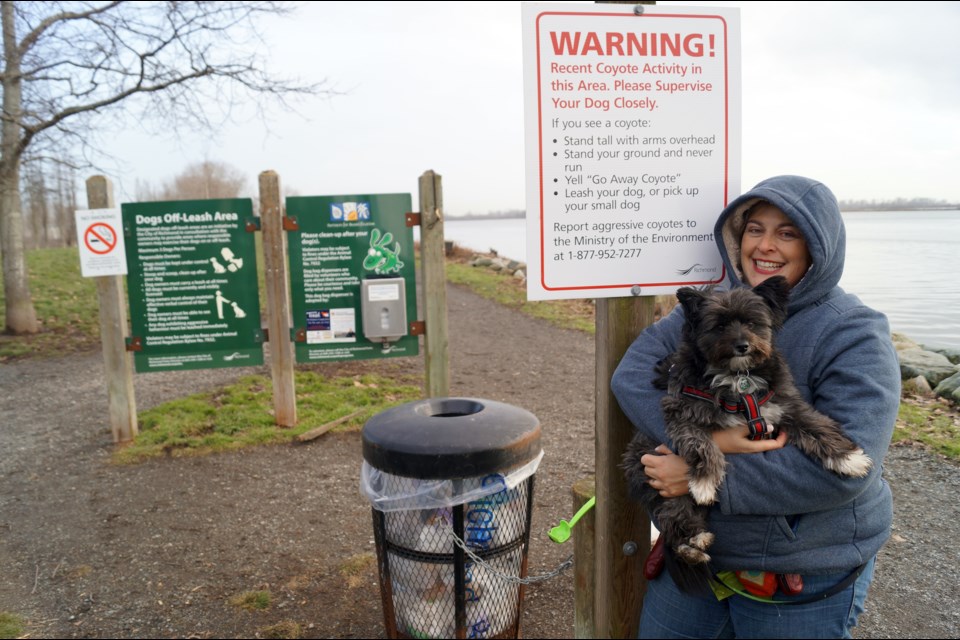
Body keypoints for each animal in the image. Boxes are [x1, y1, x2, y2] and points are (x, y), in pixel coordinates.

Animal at [624, 278, 872, 592]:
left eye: (753, 323)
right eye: (719, 326)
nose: (742, 346)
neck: (738, 379)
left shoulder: (785, 405)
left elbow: (816, 424)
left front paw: (848, 458)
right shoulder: (680, 412)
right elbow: (703, 444)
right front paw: (705, 480)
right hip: (655, 474)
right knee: (673, 516)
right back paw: (692, 542)